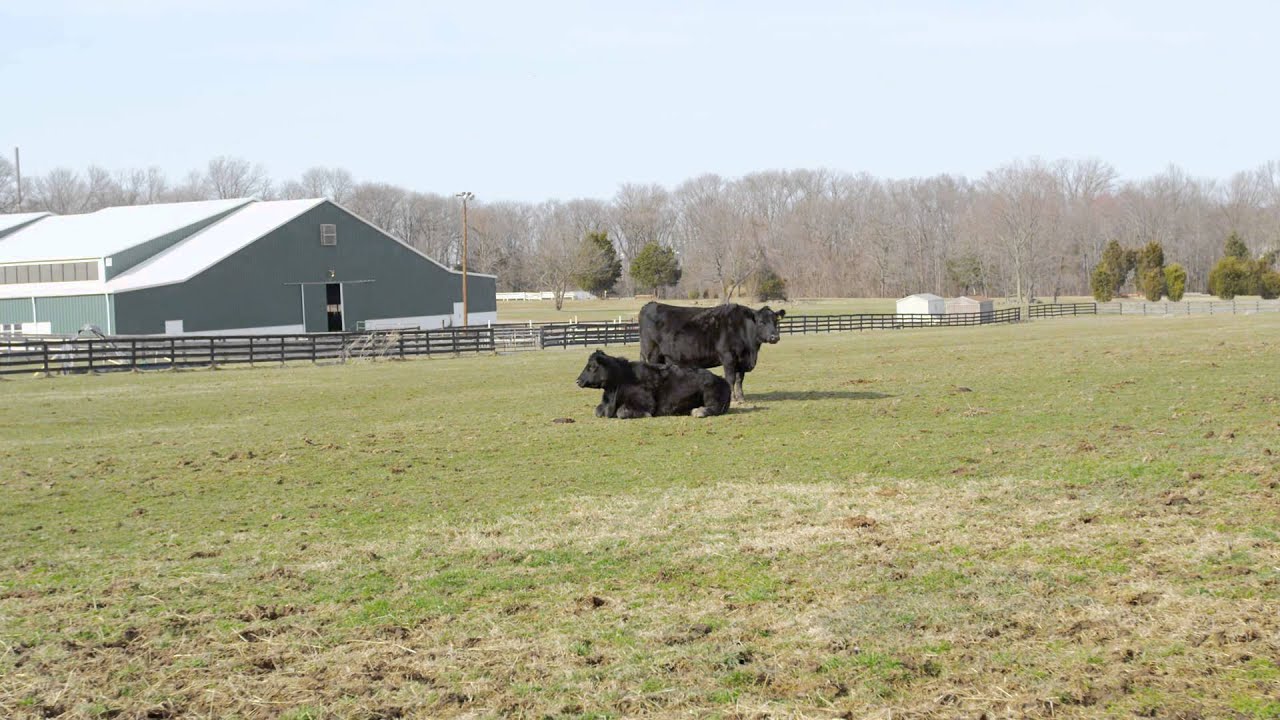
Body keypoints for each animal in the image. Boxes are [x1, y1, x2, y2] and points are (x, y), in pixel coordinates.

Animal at [575, 350, 731, 419]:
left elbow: (622, 412)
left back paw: (699, 411)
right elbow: (597, 410)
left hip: (710, 394)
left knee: (714, 408)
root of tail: (720, 379)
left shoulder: (646, 403)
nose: (578, 380)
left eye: (592, 367)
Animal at [638, 302, 785, 402]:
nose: (775, 337)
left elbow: (740, 379)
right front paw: (733, 398)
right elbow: (730, 378)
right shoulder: (728, 357)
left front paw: (741, 398)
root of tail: (650, 305)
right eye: (761, 322)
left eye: (775, 321)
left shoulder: (741, 360)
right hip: (652, 354)